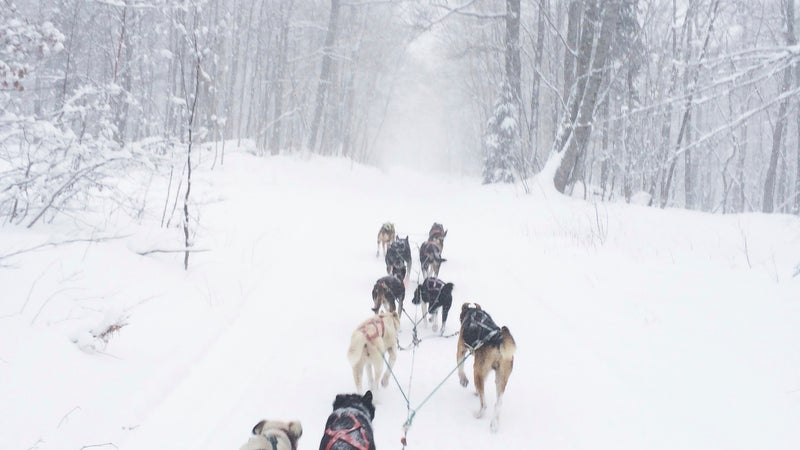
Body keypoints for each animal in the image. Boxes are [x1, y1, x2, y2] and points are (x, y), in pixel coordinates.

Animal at [460, 302, 516, 432]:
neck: (473, 312)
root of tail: (498, 341)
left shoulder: (460, 348)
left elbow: (460, 368)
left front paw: (462, 379)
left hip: (477, 371)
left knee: (484, 404)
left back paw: (478, 414)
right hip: (501, 378)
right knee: (498, 403)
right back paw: (494, 424)